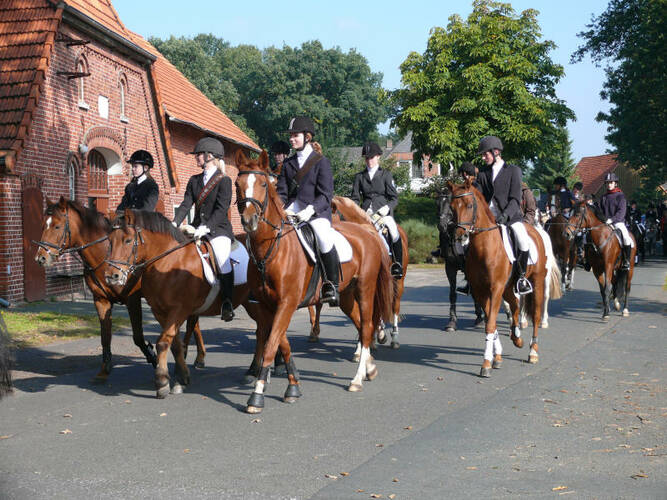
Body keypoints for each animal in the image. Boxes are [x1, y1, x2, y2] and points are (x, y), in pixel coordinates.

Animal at [104, 209, 271, 398]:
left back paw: (254, 371)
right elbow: (175, 344)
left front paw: (162, 382)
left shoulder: (179, 310)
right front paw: (182, 378)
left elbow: (163, 342)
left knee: (263, 331)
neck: (168, 263)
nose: (111, 276)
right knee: (263, 330)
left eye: (128, 240)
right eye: (109, 240)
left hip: (256, 304)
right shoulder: (160, 312)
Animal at [235, 149, 394, 413]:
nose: (249, 220)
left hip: (365, 289)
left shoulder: (286, 304)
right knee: (361, 325)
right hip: (346, 297)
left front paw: (256, 396)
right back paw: (369, 368)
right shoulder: (270, 306)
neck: (271, 251)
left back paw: (357, 379)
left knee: (367, 327)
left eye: (263, 184)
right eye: (237, 184)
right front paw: (293, 387)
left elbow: (271, 345)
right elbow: (281, 343)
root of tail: (367, 232)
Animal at [435, 192, 485, 331]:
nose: (441, 225)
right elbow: (452, 294)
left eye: (451, 206)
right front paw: (452, 321)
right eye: (437, 204)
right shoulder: (450, 268)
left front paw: (479, 318)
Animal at [448, 179, 551, 377]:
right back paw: (516, 337)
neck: (484, 248)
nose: (460, 236)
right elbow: (491, 322)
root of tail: (534, 230)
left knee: (535, 314)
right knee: (516, 306)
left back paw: (533, 352)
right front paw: (496, 357)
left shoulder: (495, 289)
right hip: (508, 288)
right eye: (451, 207)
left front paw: (486, 363)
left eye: (469, 205)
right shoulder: (481, 292)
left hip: (537, 282)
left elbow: (490, 324)